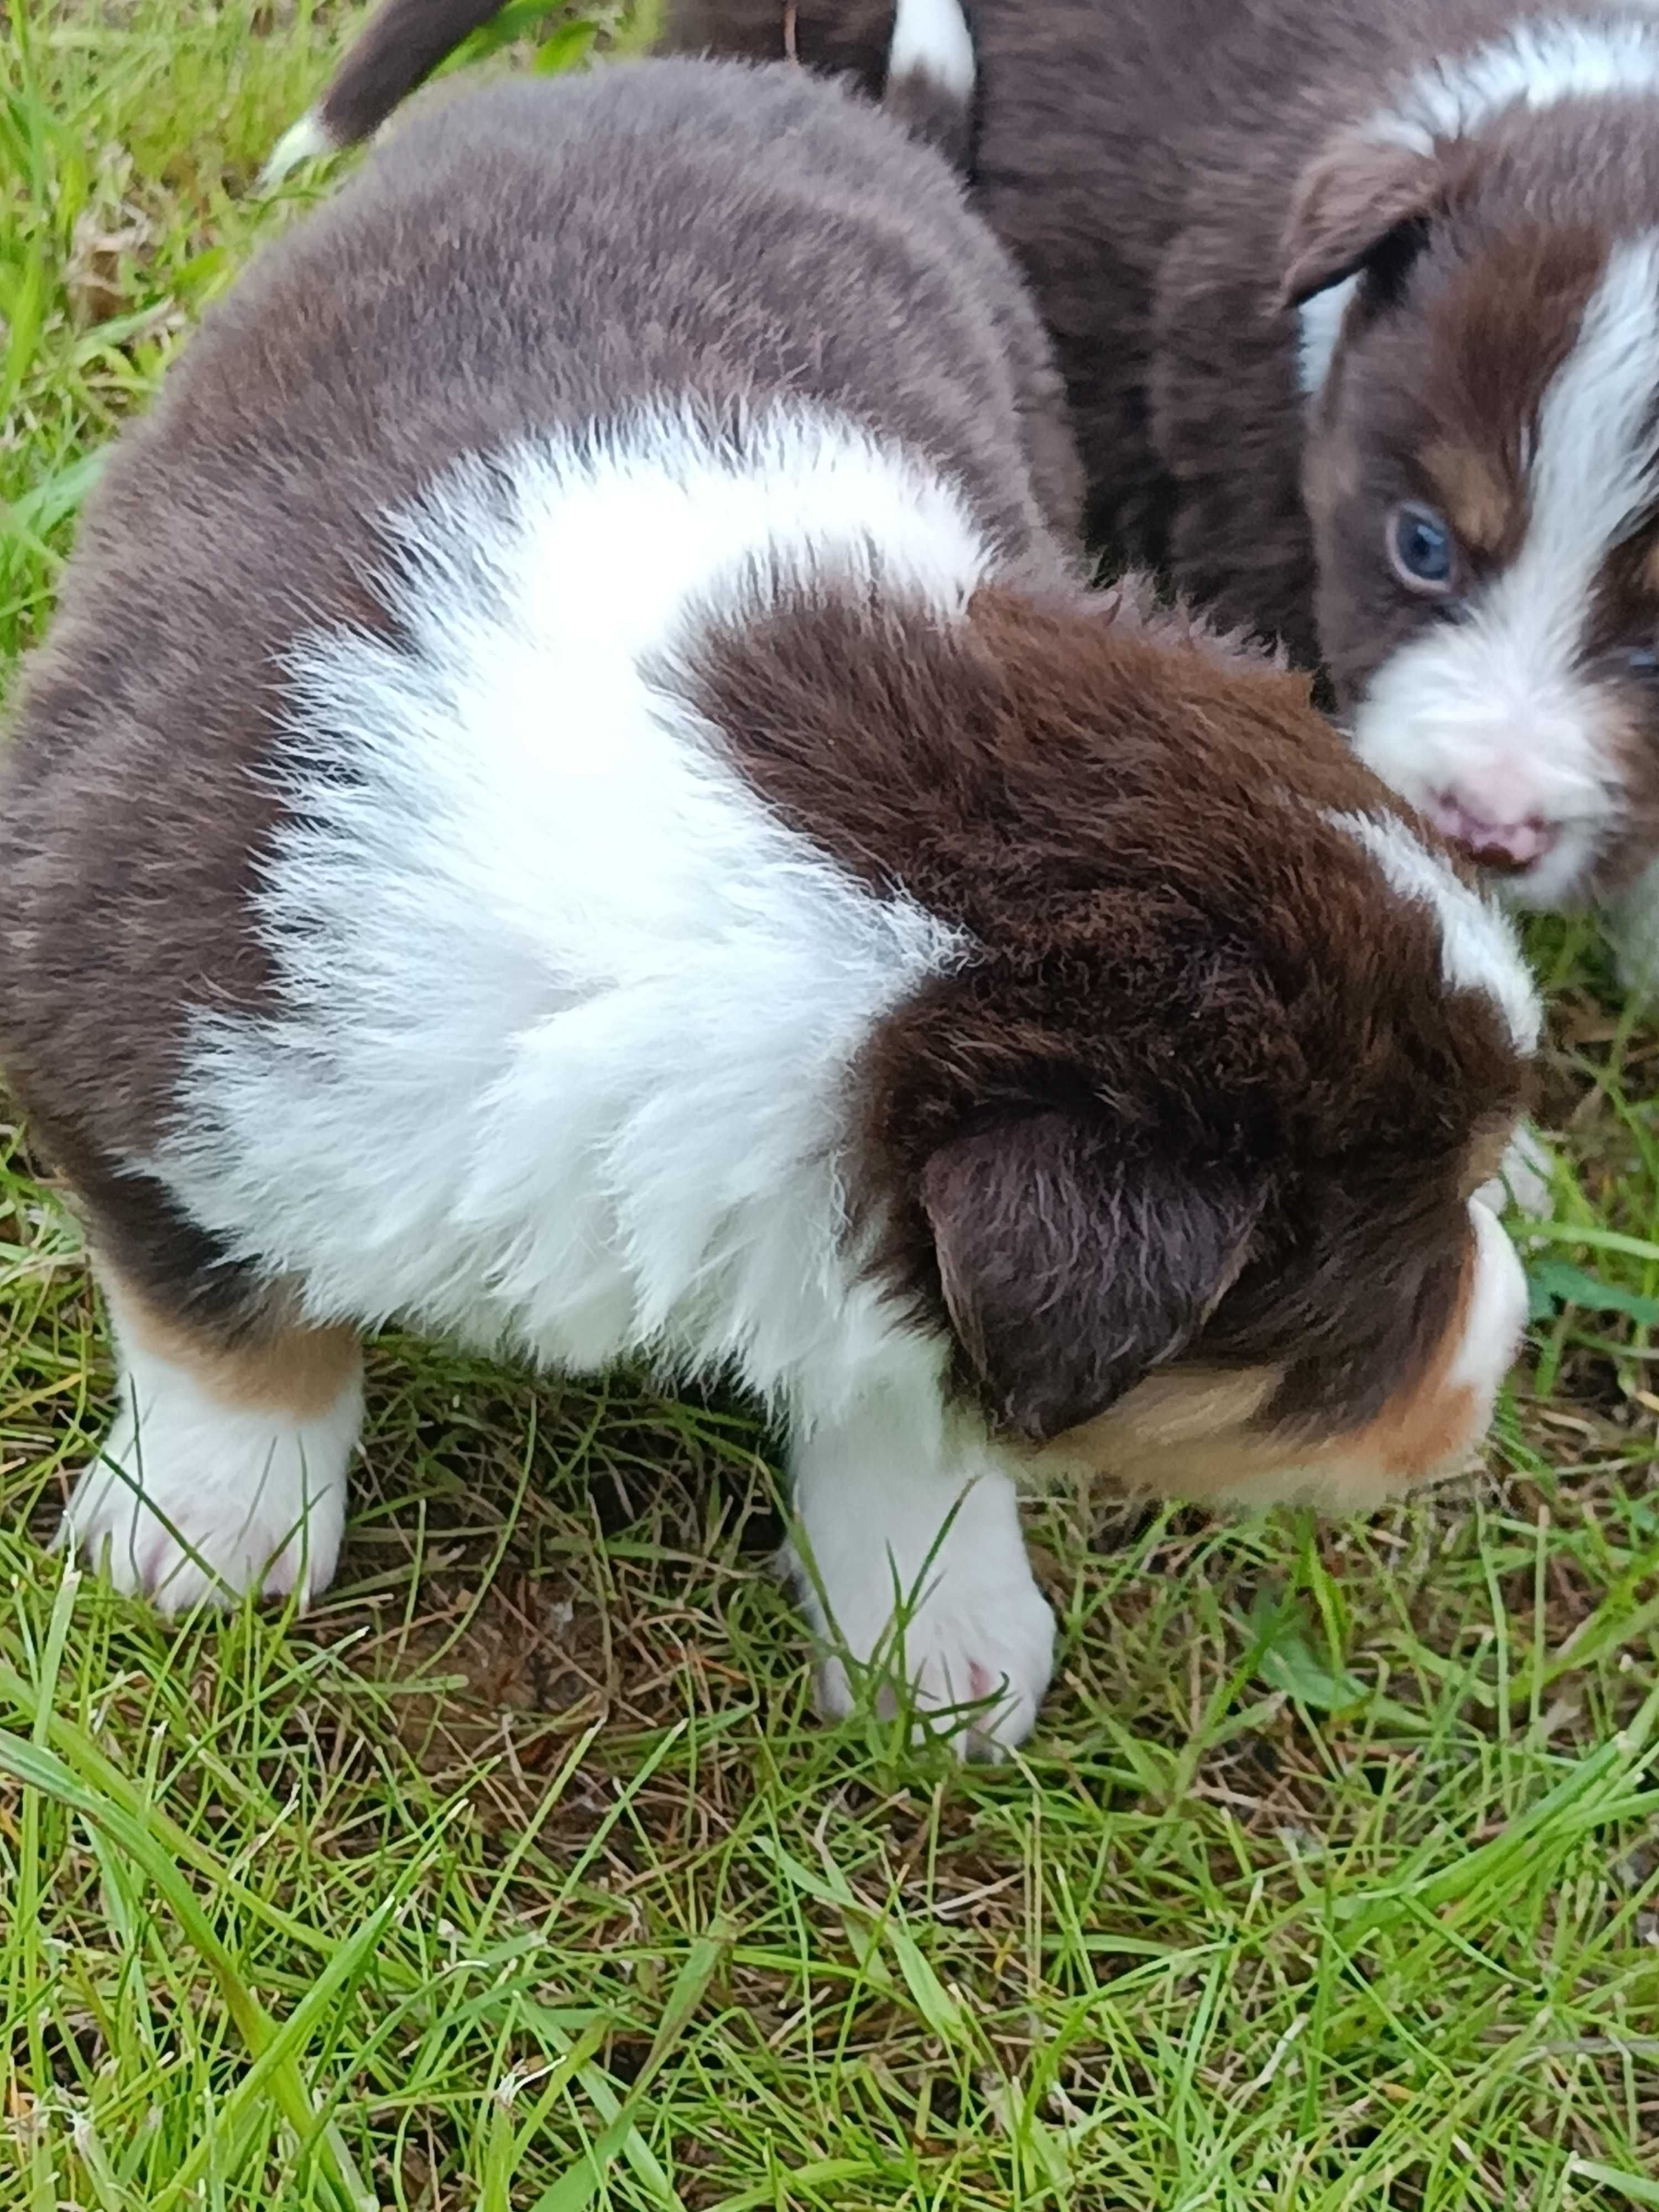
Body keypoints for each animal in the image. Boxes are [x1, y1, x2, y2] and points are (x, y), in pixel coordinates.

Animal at [6, 8, 1548, 1752]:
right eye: (1392, 1269)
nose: (1507, 1349)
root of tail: (784, 82)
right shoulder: (119, 1020)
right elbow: (217, 1319)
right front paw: (205, 1541)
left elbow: (910, 1415)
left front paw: (937, 1652)